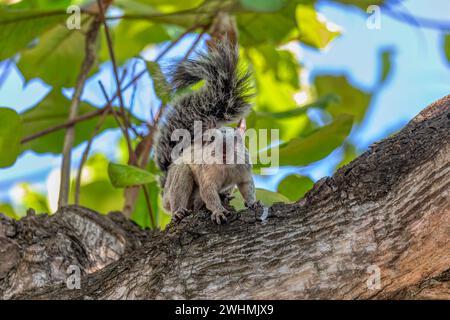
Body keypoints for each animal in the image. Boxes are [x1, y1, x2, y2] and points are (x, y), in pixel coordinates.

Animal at [154, 38, 256, 225]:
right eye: (211, 139)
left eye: (237, 139)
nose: (224, 149)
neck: (226, 166)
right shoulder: (206, 176)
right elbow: (209, 194)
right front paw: (218, 212)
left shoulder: (244, 171)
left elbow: (248, 187)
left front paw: (253, 203)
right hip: (179, 178)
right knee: (179, 197)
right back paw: (178, 212)